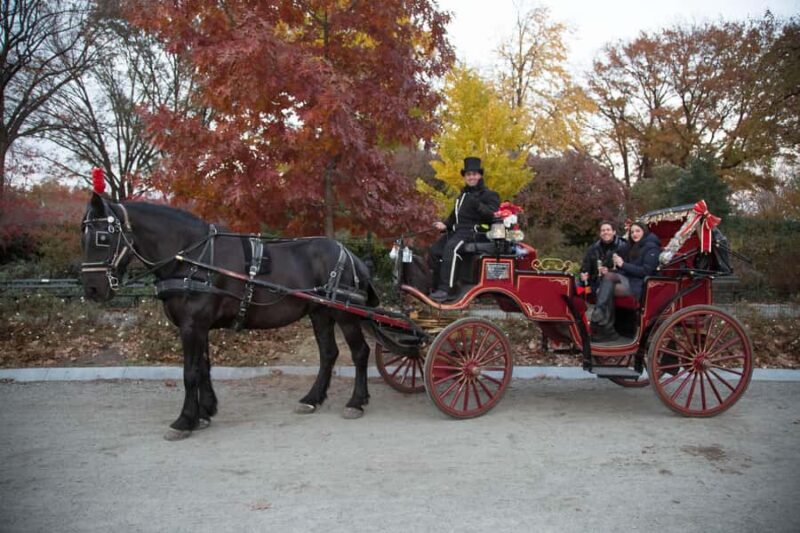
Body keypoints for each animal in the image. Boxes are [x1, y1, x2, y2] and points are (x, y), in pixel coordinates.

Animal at [80, 192, 379, 440]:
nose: (92, 289)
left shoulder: (192, 326)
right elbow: (203, 368)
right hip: (320, 313)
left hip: (345, 314)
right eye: (81, 234)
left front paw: (184, 420)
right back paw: (312, 398)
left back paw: (356, 401)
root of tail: (352, 256)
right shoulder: (199, 327)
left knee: (360, 352)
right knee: (328, 354)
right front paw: (205, 411)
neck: (193, 259)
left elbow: (190, 372)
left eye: (102, 237)